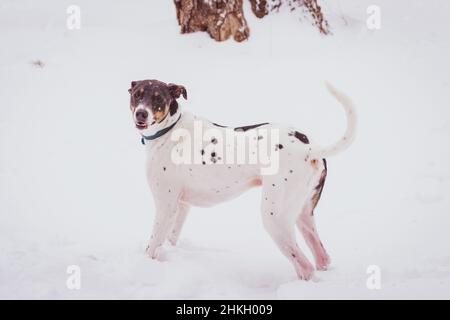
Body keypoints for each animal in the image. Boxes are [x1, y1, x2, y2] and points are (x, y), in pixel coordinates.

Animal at [128, 80, 356, 280]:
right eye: (137, 94)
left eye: (158, 98)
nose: (141, 113)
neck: (171, 129)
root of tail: (309, 148)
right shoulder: (182, 206)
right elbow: (171, 238)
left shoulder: (165, 206)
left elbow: (152, 245)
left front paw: (145, 265)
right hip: (303, 215)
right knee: (322, 258)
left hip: (275, 218)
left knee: (305, 266)